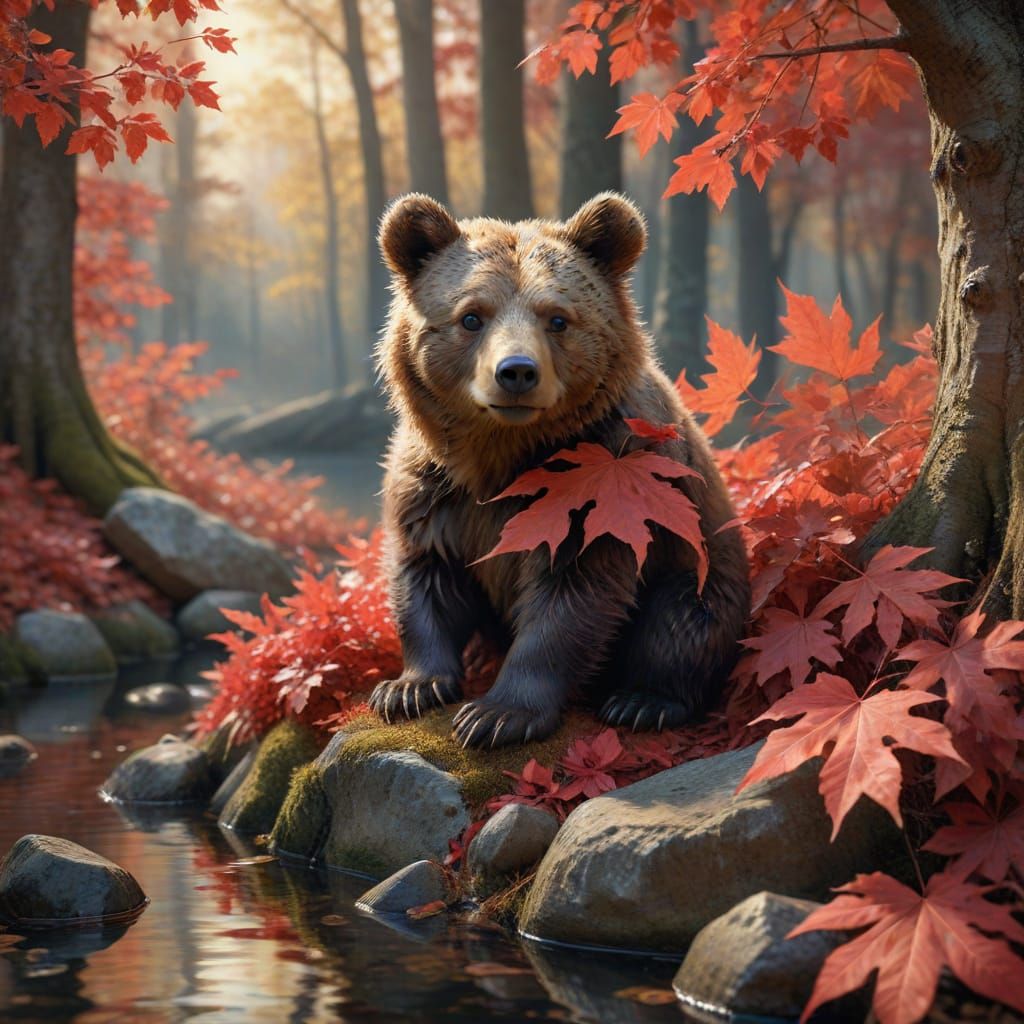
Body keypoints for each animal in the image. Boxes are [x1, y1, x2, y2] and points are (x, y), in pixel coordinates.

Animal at [368, 191, 750, 749]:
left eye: (557, 318)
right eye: (471, 316)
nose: (517, 372)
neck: (503, 456)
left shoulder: (599, 495)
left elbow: (571, 600)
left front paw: (495, 714)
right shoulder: (435, 490)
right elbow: (425, 575)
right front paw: (408, 688)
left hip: (699, 563)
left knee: (682, 622)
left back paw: (643, 701)